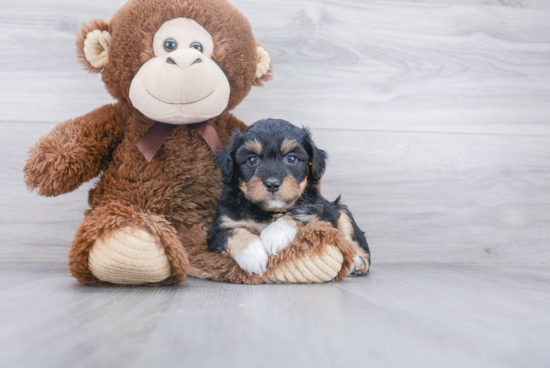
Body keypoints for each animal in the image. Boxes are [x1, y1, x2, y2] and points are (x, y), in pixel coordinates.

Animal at [209, 119, 374, 278]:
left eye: (291, 158)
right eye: (252, 160)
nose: (272, 184)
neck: (269, 211)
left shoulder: (317, 214)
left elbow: (298, 214)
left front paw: (274, 234)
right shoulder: (219, 226)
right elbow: (233, 233)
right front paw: (253, 255)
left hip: (343, 213)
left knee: (361, 250)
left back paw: (356, 263)